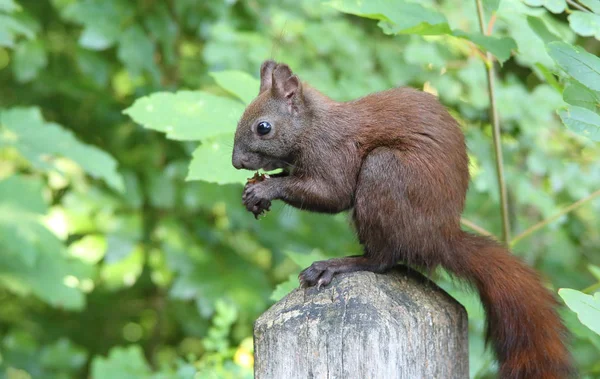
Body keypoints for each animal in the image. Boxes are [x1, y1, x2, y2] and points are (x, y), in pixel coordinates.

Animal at [232, 60, 576, 379]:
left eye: (263, 127)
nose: (236, 162)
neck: (312, 125)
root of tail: (441, 238)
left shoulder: (332, 152)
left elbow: (332, 194)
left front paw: (266, 188)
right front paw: (255, 191)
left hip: (384, 173)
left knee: (382, 260)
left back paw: (338, 264)